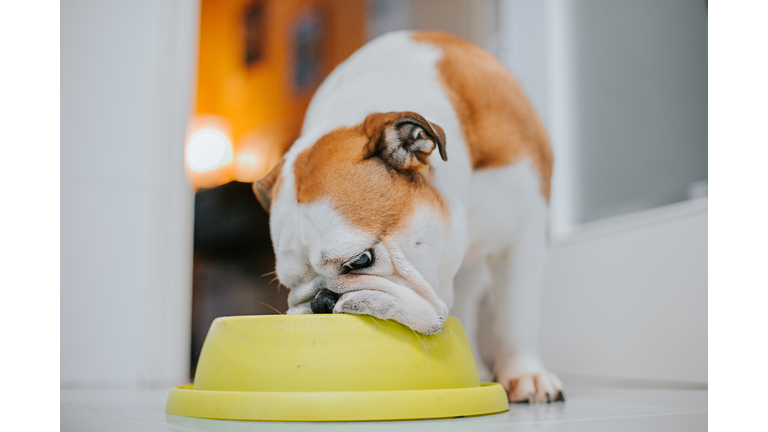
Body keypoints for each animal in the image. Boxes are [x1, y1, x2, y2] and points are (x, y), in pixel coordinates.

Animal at [255, 31, 560, 404]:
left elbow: (517, 313)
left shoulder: (522, 235)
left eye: (361, 260)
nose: (321, 301)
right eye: (289, 285)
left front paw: (525, 374)